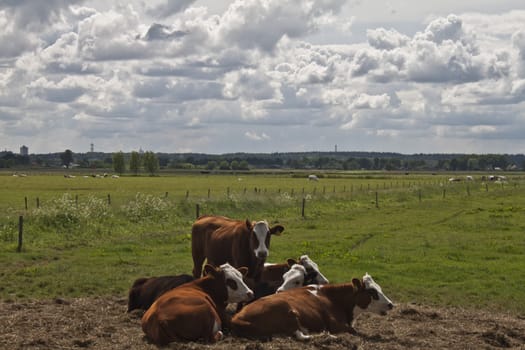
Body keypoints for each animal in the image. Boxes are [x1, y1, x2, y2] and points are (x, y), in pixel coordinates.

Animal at [230, 272, 392, 340]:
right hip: (287, 311)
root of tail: (237, 317)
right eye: (372, 292)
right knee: (300, 335)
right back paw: (326, 336)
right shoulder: (334, 323)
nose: (391, 304)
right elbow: (353, 331)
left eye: (379, 288)